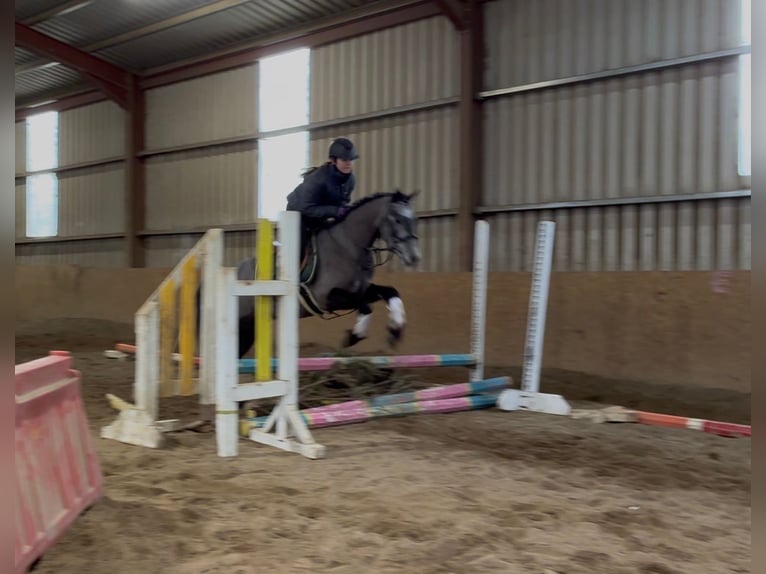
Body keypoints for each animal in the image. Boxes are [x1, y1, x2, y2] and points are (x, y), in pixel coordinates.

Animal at [206, 190, 422, 358]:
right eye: (397, 219)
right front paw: (353, 337)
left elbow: (391, 292)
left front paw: (395, 330)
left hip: (252, 324)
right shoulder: (328, 298)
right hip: (242, 321)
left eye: (413, 219)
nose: (414, 257)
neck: (348, 247)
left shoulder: (362, 289)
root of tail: (235, 271)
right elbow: (365, 306)